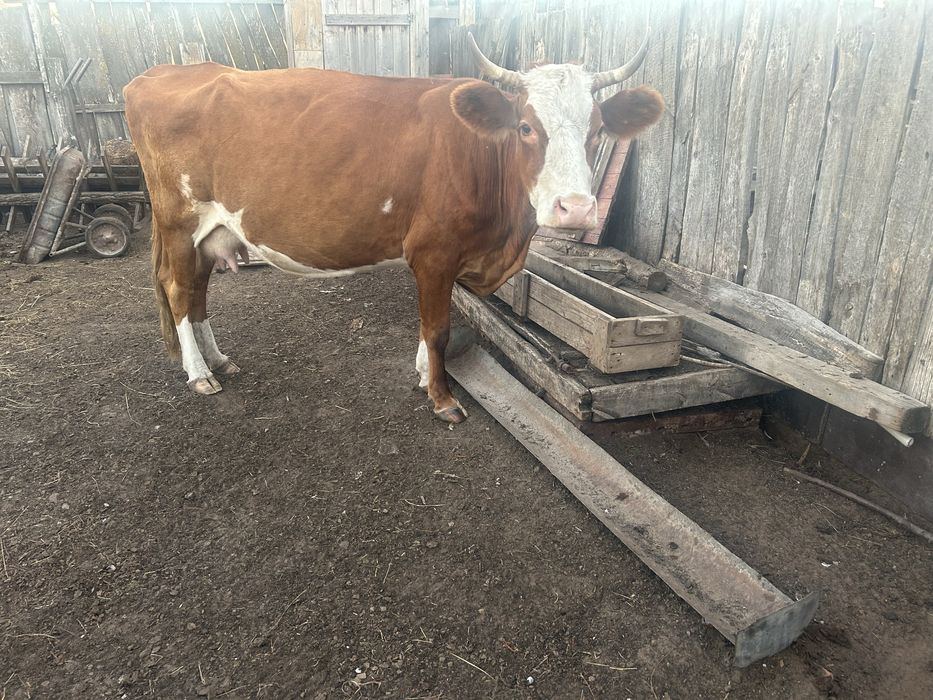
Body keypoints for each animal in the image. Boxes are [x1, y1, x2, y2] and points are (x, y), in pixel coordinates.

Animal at [123, 35, 663, 423]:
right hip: (178, 220)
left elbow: (431, 328)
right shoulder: (434, 252)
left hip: (209, 230)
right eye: (526, 127)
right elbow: (438, 328)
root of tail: (160, 73)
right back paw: (199, 374)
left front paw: (423, 375)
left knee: (197, 289)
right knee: (177, 289)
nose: (575, 209)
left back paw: (217, 360)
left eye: (597, 129)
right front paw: (442, 399)